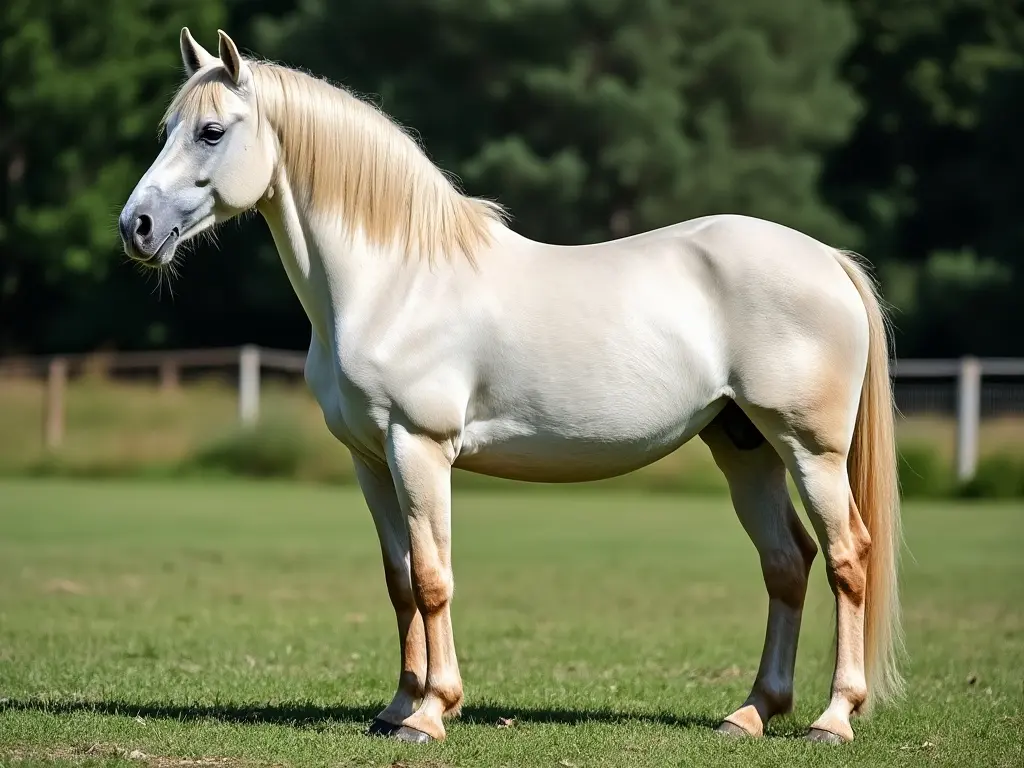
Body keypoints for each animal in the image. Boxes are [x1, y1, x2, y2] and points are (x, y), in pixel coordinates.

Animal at [118, 28, 904, 746]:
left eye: (212, 130)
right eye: (168, 130)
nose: (137, 227)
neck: (393, 283)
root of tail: (827, 260)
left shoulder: (419, 447)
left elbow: (433, 578)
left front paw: (431, 714)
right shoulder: (370, 459)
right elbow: (399, 580)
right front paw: (396, 708)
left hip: (809, 449)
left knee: (847, 558)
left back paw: (834, 718)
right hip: (744, 446)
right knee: (787, 563)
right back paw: (751, 713)